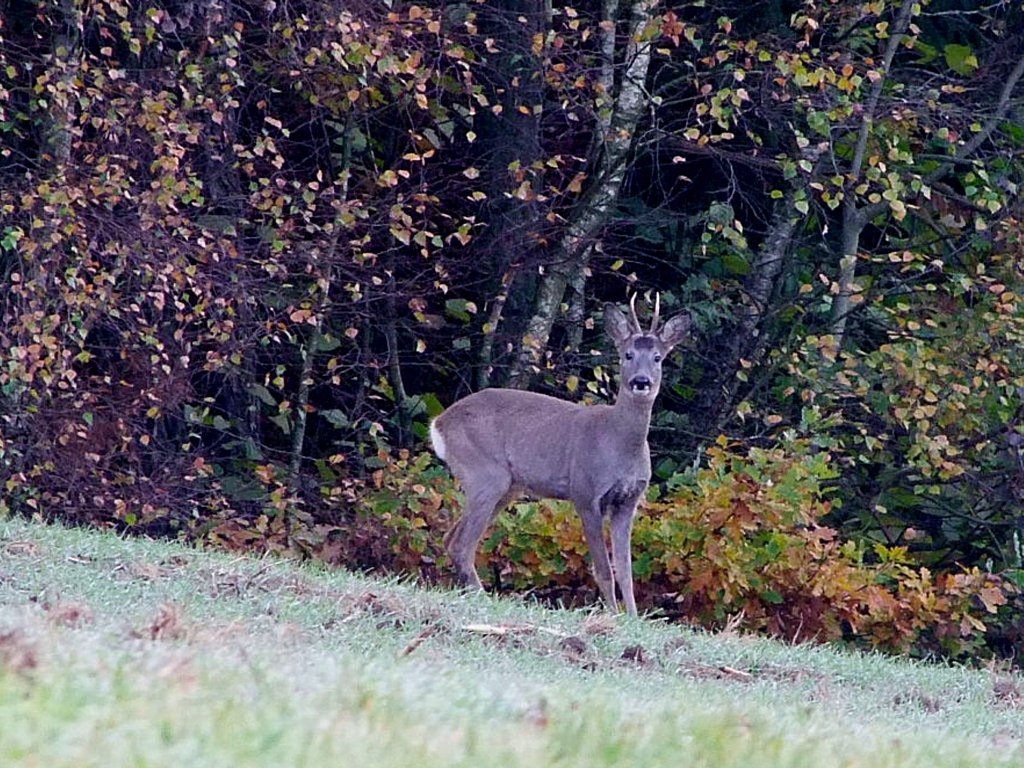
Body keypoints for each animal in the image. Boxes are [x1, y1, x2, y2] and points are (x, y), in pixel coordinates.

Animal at [428, 294, 692, 618]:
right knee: (462, 544)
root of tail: (439, 423)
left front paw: (631, 617)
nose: (641, 381)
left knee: (451, 538)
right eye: (627, 354)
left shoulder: (628, 501)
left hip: (507, 487)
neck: (618, 444)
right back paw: (484, 598)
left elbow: (625, 569)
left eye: (657, 358)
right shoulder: (585, 493)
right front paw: (613, 614)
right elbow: (603, 569)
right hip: (486, 473)